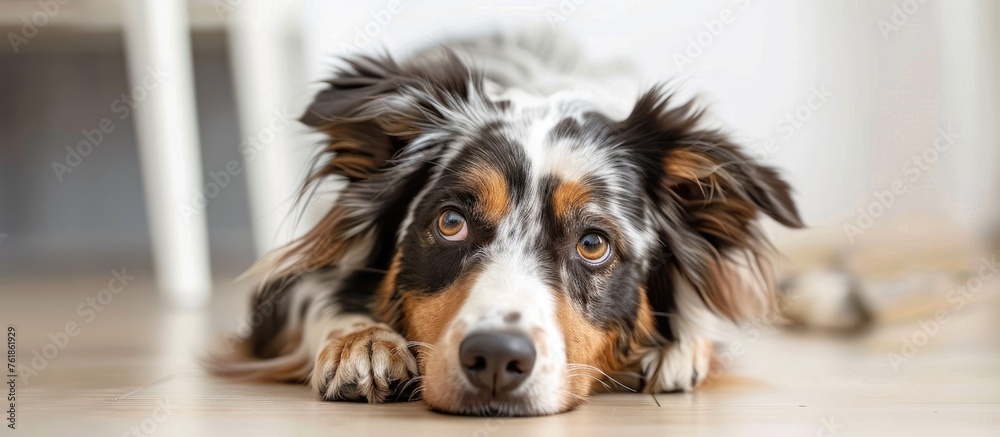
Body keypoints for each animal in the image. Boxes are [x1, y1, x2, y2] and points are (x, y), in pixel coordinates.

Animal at [211, 34, 804, 416]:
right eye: (451, 222)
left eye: (594, 243)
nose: (496, 357)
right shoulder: (282, 286)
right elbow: (322, 298)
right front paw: (362, 342)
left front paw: (681, 349)